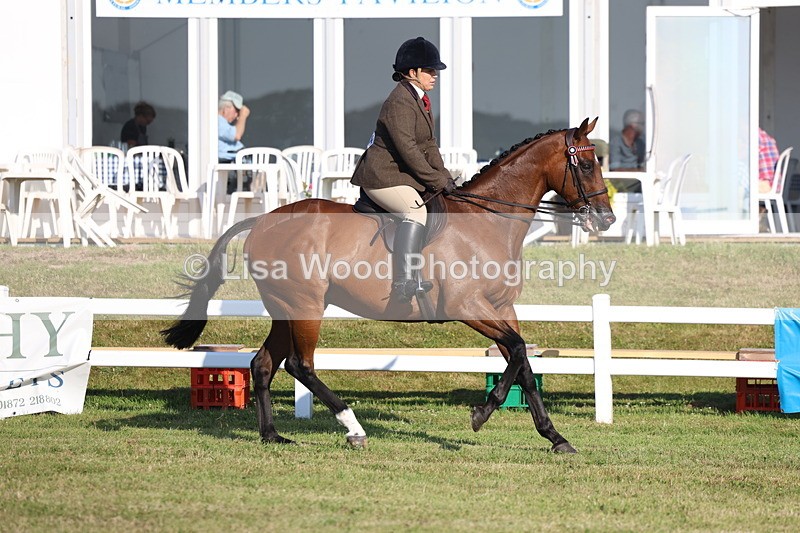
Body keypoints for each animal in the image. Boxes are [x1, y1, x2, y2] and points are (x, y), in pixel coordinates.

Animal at [162, 117, 615, 453]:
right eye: (586, 165)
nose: (607, 219)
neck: (487, 221)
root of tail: (262, 220)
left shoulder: (502, 309)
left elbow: (523, 365)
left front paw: (555, 437)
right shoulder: (471, 308)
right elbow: (519, 353)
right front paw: (481, 414)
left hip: (286, 308)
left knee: (263, 364)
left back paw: (272, 435)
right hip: (305, 305)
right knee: (300, 365)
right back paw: (353, 428)